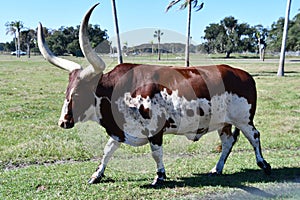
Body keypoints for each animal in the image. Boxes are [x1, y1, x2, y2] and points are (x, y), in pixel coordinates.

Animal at [36, 2, 270, 186]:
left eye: (78, 93)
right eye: (67, 91)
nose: (63, 122)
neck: (119, 91)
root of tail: (243, 74)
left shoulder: (155, 128)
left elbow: (156, 152)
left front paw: (160, 176)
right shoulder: (119, 130)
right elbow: (108, 150)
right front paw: (97, 175)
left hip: (243, 119)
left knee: (254, 136)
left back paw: (263, 164)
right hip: (224, 122)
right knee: (228, 141)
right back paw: (217, 168)